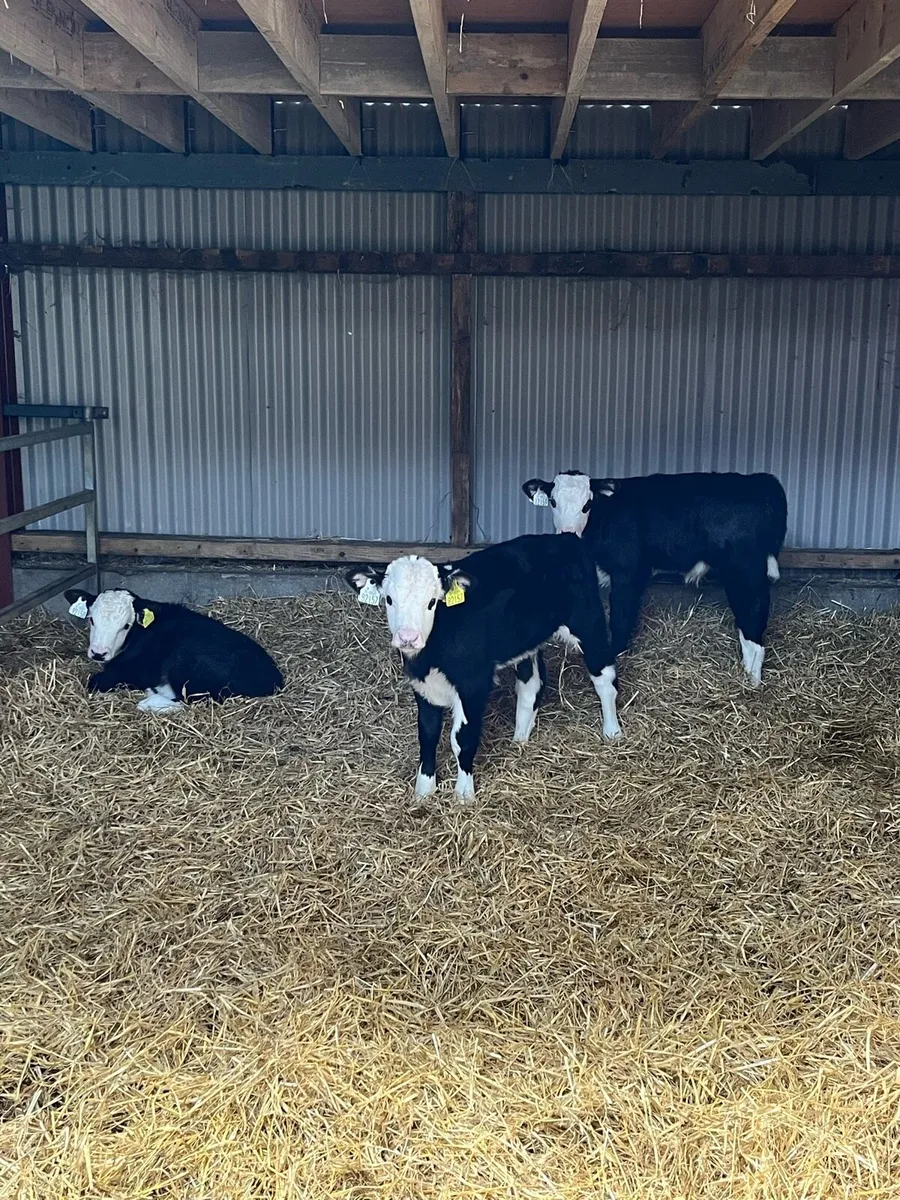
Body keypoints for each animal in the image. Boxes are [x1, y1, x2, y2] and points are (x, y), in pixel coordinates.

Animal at [65, 588, 283, 712]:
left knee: (193, 700)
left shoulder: (125, 671)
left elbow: (95, 681)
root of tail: (272, 678)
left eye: (126, 626)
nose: (99, 653)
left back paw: (150, 702)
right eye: (91, 620)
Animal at [346, 534, 621, 803]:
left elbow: (462, 739)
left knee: (604, 680)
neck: (430, 654)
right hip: (527, 641)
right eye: (389, 600)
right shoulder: (423, 685)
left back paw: (612, 732)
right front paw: (423, 792)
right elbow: (427, 734)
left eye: (432, 602)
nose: (408, 638)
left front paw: (464, 795)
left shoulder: (473, 684)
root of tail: (565, 538)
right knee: (531, 686)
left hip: (588, 622)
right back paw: (519, 740)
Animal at [522, 470, 788, 687]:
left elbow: (621, 617)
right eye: (553, 502)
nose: (566, 533)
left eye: (587, 505)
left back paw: (752, 681)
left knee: (753, 614)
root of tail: (760, 481)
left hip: (744, 569)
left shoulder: (627, 573)